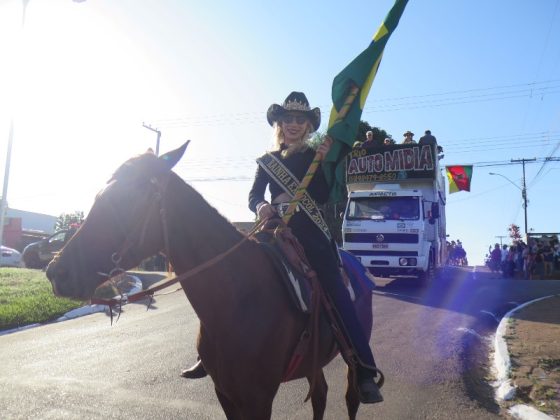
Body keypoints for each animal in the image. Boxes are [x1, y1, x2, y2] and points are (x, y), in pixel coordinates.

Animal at [46, 143, 375, 420]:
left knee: (351, 397)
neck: (236, 298)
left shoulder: (258, 399)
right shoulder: (226, 394)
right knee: (320, 394)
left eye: (126, 199)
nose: (56, 271)